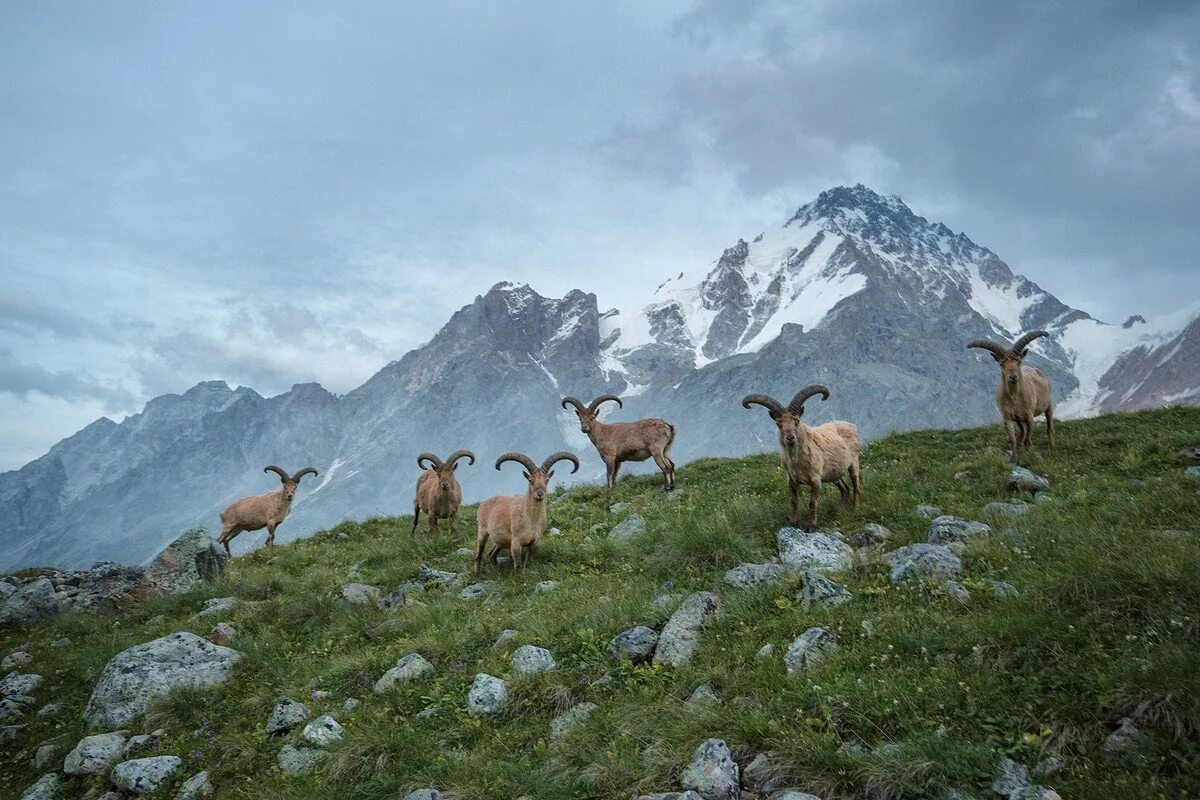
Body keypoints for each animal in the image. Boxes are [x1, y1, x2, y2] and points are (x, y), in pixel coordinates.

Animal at [739, 386, 864, 532]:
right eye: (778, 424)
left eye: (797, 421)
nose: (790, 438)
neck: (797, 462)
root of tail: (851, 425)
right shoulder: (792, 480)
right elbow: (794, 501)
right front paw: (793, 522)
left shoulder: (816, 480)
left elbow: (812, 502)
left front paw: (812, 526)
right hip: (833, 474)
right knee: (845, 488)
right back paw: (841, 511)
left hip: (854, 462)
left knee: (856, 486)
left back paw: (856, 509)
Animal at [969, 328, 1056, 460]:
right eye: (1001, 363)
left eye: (1018, 361)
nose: (1013, 377)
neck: (1015, 399)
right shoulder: (1008, 417)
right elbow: (1012, 438)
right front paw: (1014, 458)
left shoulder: (1029, 417)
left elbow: (1028, 437)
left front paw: (1029, 451)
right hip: (1019, 419)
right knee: (1022, 431)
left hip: (1048, 405)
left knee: (1049, 428)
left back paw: (1051, 449)